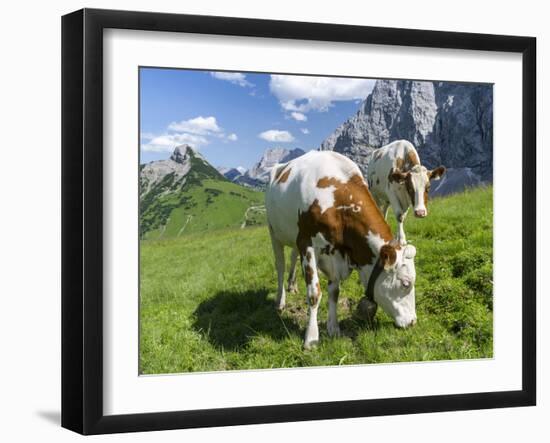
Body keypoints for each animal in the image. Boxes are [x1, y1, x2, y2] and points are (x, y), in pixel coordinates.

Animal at [266, 152, 418, 350]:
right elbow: (314, 293)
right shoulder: (307, 243)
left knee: (292, 258)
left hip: (293, 236)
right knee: (280, 267)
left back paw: (292, 285)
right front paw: (311, 339)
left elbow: (334, 292)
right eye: (406, 283)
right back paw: (280, 301)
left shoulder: (333, 254)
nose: (413, 321)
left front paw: (334, 329)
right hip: (274, 232)